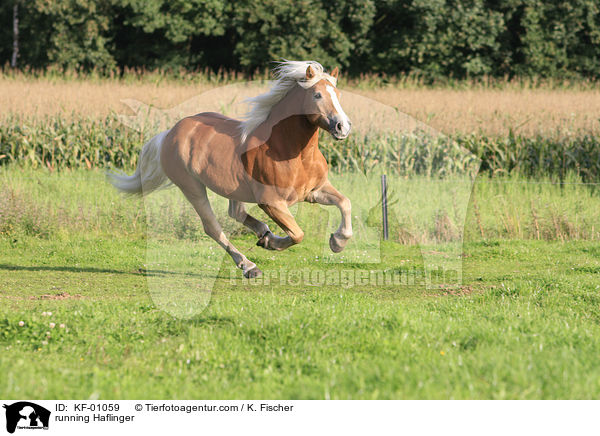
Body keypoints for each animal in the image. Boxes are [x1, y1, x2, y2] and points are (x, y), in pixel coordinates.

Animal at [109, 60, 352, 280]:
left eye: (338, 94)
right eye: (317, 95)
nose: (343, 127)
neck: (290, 152)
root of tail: (170, 133)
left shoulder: (315, 191)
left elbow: (344, 203)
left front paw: (337, 242)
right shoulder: (271, 202)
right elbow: (297, 234)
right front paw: (272, 243)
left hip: (233, 188)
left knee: (235, 212)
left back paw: (263, 233)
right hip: (192, 187)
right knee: (212, 227)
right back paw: (250, 266)